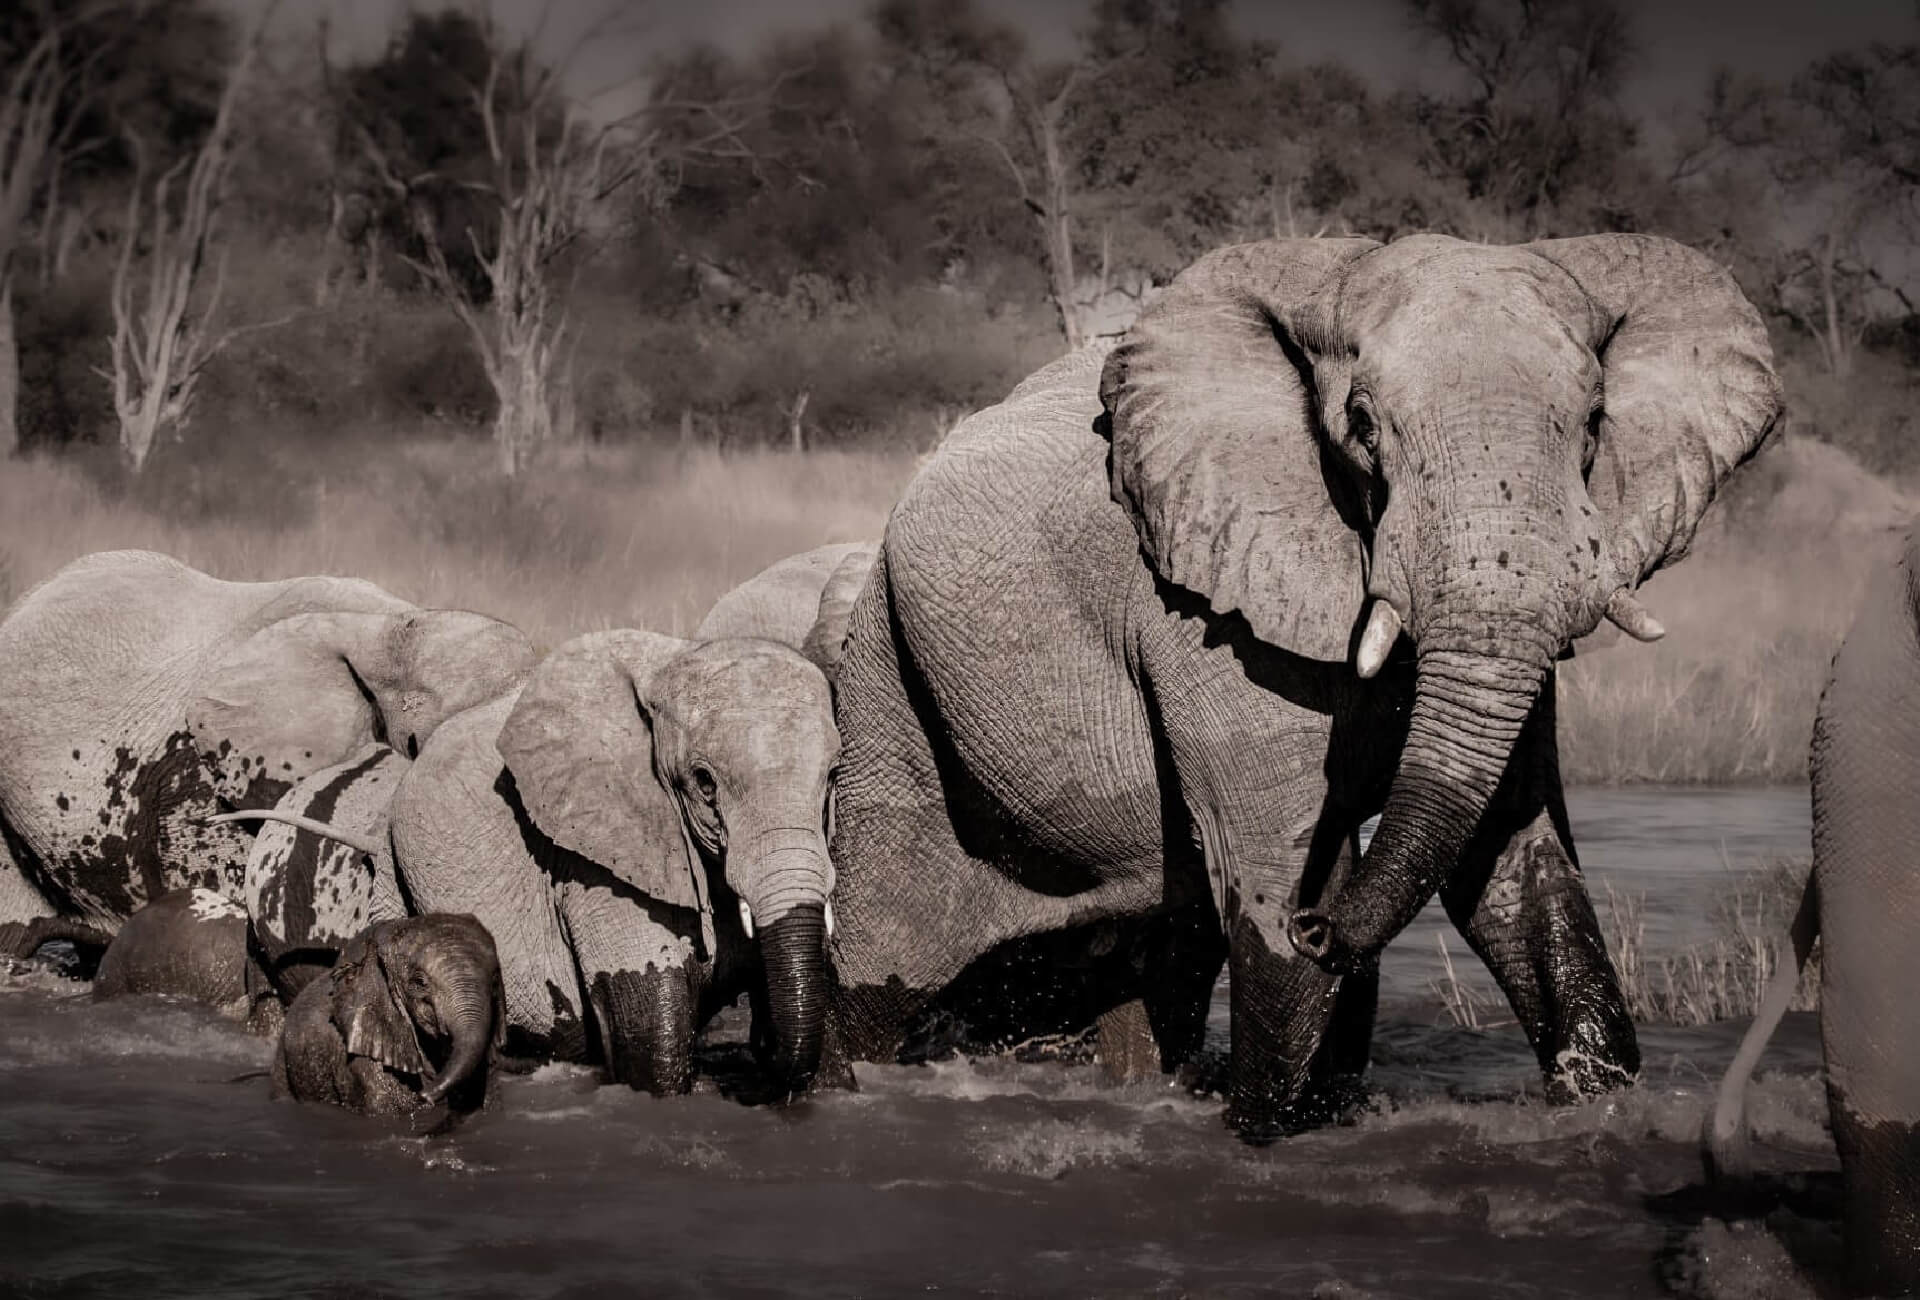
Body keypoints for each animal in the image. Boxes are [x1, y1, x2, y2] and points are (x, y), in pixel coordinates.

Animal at [819, 233, 1781, 1137]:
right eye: (1362, 424)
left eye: (1594, 421)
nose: (1322, 927)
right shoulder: (1206, 614)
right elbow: (1273, 870)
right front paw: (1268, 1125)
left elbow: (1515, 869)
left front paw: (1598, 1107)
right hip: (889, 674)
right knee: (883, 959)